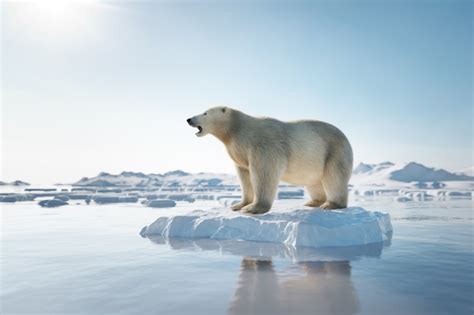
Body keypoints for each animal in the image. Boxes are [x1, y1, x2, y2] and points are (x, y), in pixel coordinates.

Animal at [187, 107, 354, 215]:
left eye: (205, 113)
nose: (189, 119)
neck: (237, 129)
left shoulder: (263, 145)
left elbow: (264, 172)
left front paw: (253, 208)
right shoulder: (239, 152)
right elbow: (245, 176)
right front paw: (239, 205)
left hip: (334, 151)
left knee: (334, 178)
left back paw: (331, 204)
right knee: (314, 182)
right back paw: (313, 202)